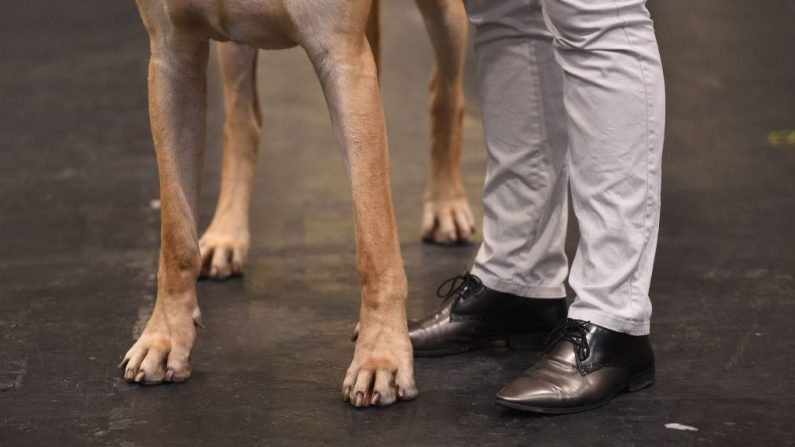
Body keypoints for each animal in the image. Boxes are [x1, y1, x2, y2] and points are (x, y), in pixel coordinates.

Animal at [199, 0, 472, 280]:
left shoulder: (343, 54)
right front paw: (226, 237)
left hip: (445, 16)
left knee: (447, 97)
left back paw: (446, 204)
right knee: (241, 122)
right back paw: (227, 235)